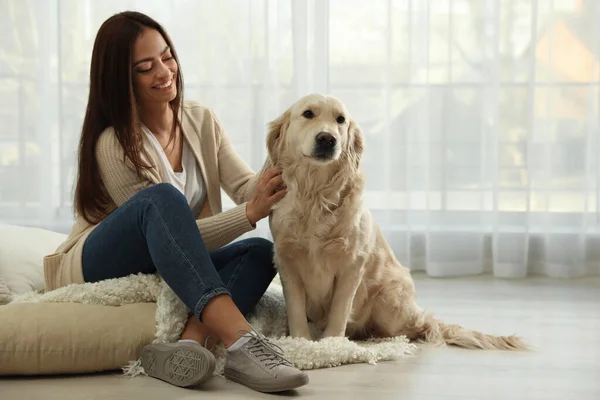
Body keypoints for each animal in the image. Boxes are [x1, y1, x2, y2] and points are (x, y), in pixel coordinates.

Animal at [264, 94, 528, 350]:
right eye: (308, 113)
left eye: (340, 120)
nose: (327, 139)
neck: (316, 195)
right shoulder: (287, 260)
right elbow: (296, 310)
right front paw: (301, 342)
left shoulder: (351, 264)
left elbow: (339, 311)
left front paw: (331, 345)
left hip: (390, 304)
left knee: (426, 323)